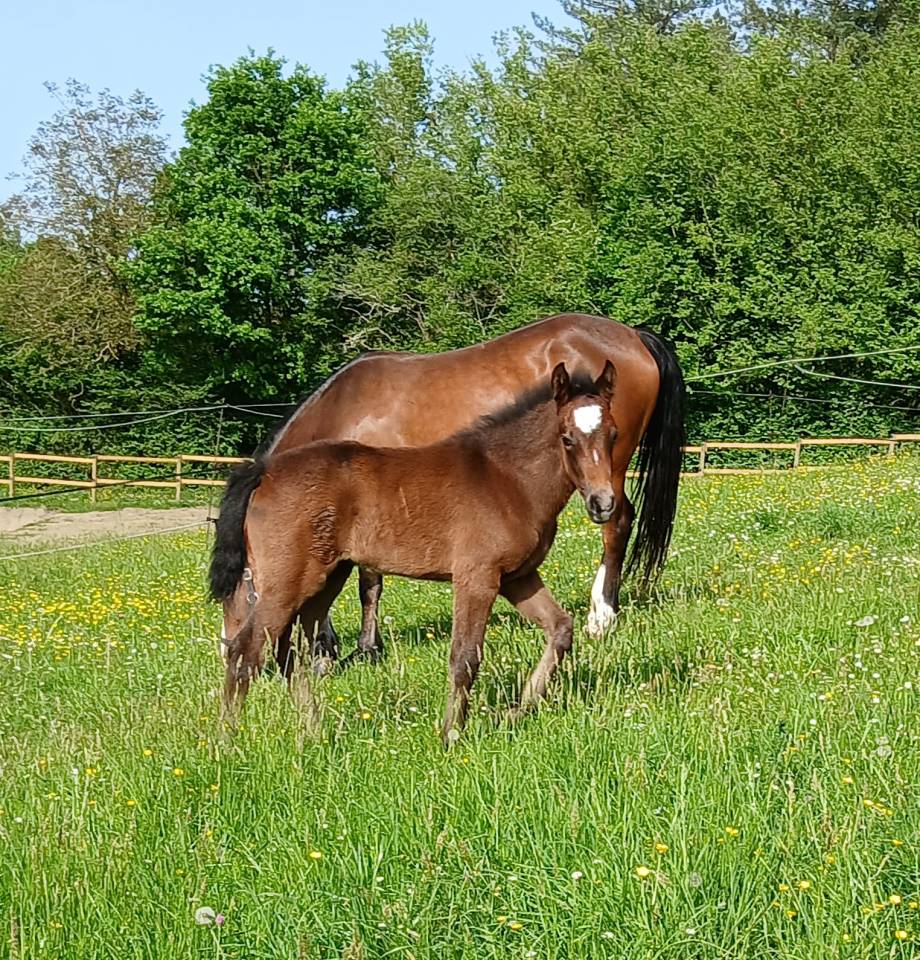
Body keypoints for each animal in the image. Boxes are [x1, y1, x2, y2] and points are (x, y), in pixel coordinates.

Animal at [211, 362, 620, 743]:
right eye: (567, 438)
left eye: (614, 434)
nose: (603, 503)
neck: (507, 478)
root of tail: (264, 472)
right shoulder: (477, 577)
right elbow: (465, 656)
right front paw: (452, 733)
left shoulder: (517, 577)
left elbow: (561, 628)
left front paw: (518, 709)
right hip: (288, 580)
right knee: (246, 649)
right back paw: (226, 742)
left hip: (326, 578)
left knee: (289, 650)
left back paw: (313, 733)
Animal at [214, 314, 684, 667]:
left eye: (234, 587)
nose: (228, 649)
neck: (347, 408)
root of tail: (632, 336)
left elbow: (369, 582)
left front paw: (365, 648)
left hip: (609, 470)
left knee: (616, 524)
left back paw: (601, 616)